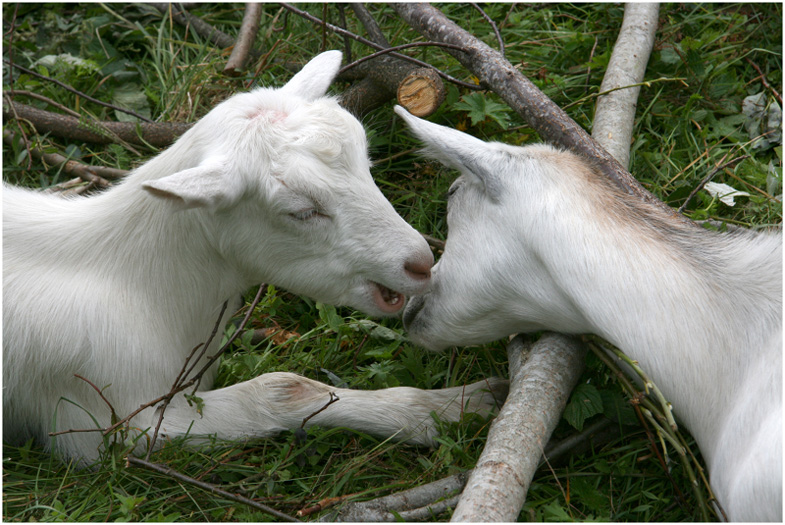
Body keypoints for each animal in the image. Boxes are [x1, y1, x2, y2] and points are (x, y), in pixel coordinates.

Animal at [1, 51, 502, 464]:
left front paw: (460, 402)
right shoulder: (105, 422)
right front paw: (455, 407)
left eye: (367, 164)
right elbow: (283, 387)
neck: (140, 287)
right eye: (301, 210)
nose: (418, 263)